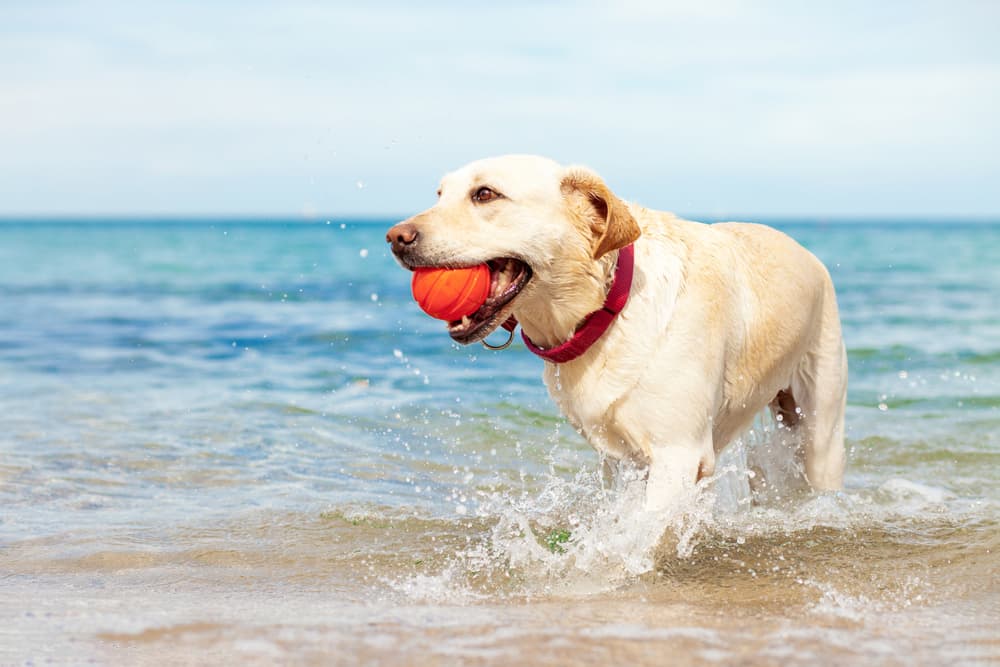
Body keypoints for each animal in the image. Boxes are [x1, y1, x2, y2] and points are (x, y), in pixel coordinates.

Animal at [384, 155, 844, 512]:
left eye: (485, 194)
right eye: (439, 194)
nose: (395, 237)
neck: (606, 309)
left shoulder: (679, 454)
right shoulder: (621, 461)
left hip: (820, 431)